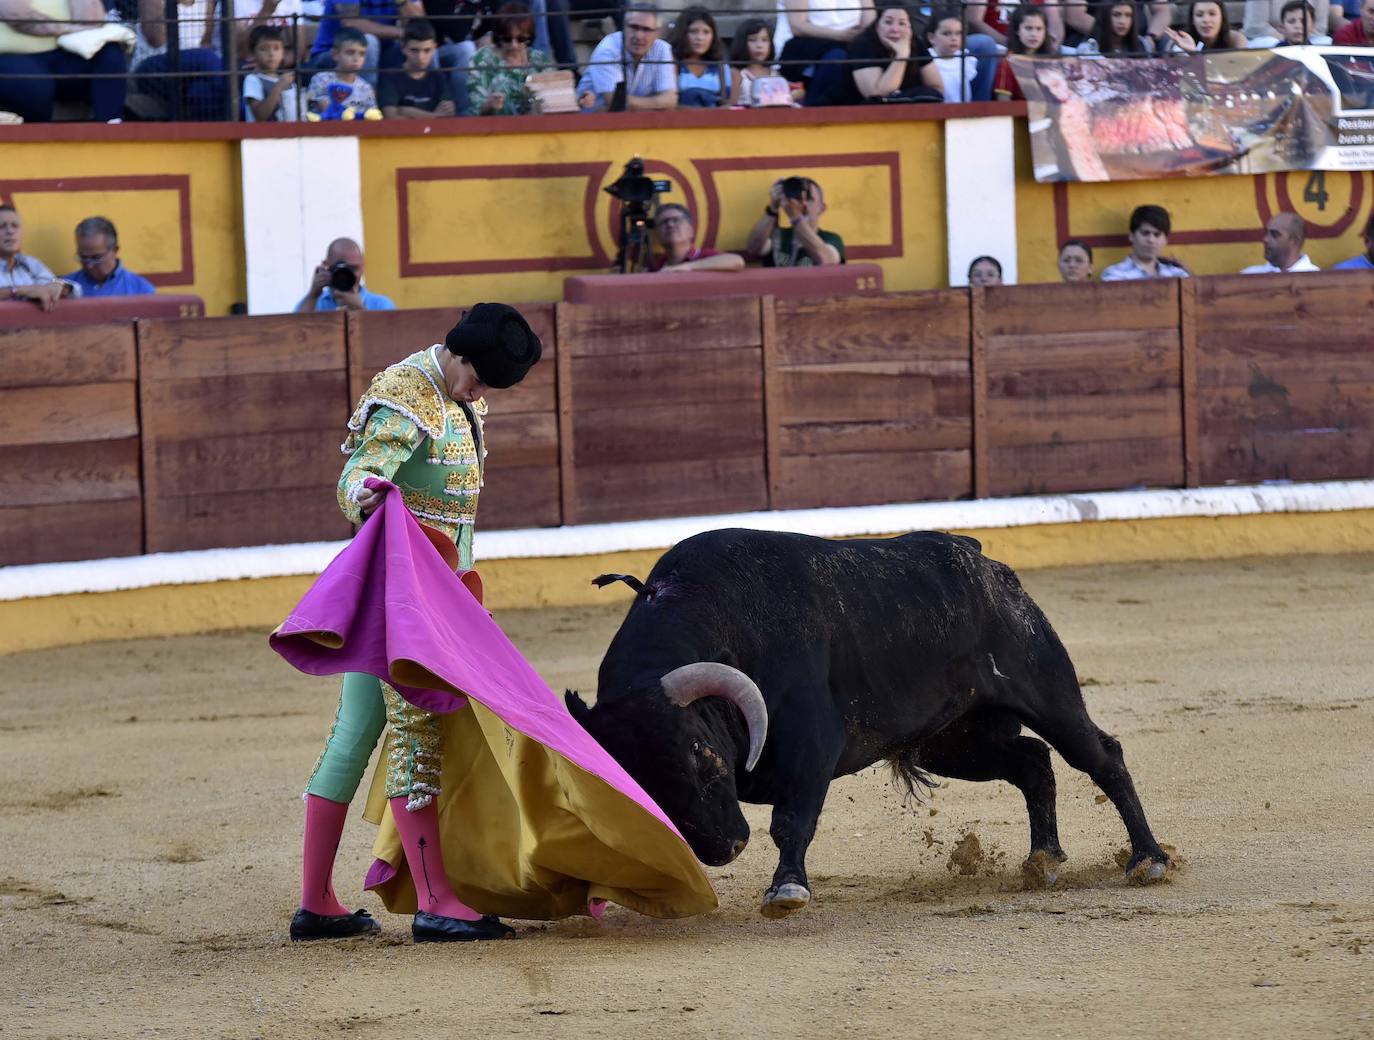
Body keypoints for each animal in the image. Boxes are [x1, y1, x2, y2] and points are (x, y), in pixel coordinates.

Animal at [566, 530, 1170, 912]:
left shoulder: (813, 745)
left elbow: (792, 822)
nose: (725, 848)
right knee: (1031, 762)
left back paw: (1148, 860)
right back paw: (1042, 859)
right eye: (637, 781)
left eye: (701, 752)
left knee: (1098, 755)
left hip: (1048, 694)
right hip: (952, 744)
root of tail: (986, 564)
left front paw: (786, 892)